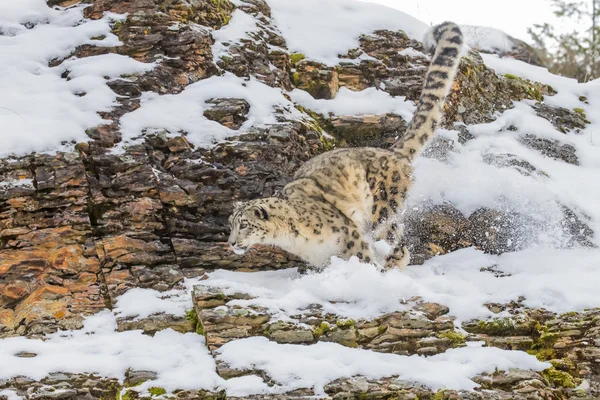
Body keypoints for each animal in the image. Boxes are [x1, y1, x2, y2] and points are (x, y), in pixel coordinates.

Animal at [227, 21, 462, 268]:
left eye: (244, 224)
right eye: (231, 225)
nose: (231, 243)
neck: (294, 241)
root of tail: (391, 152)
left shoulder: (350, 236)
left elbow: (363, 256)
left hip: (381, 209)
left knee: (390, 241)